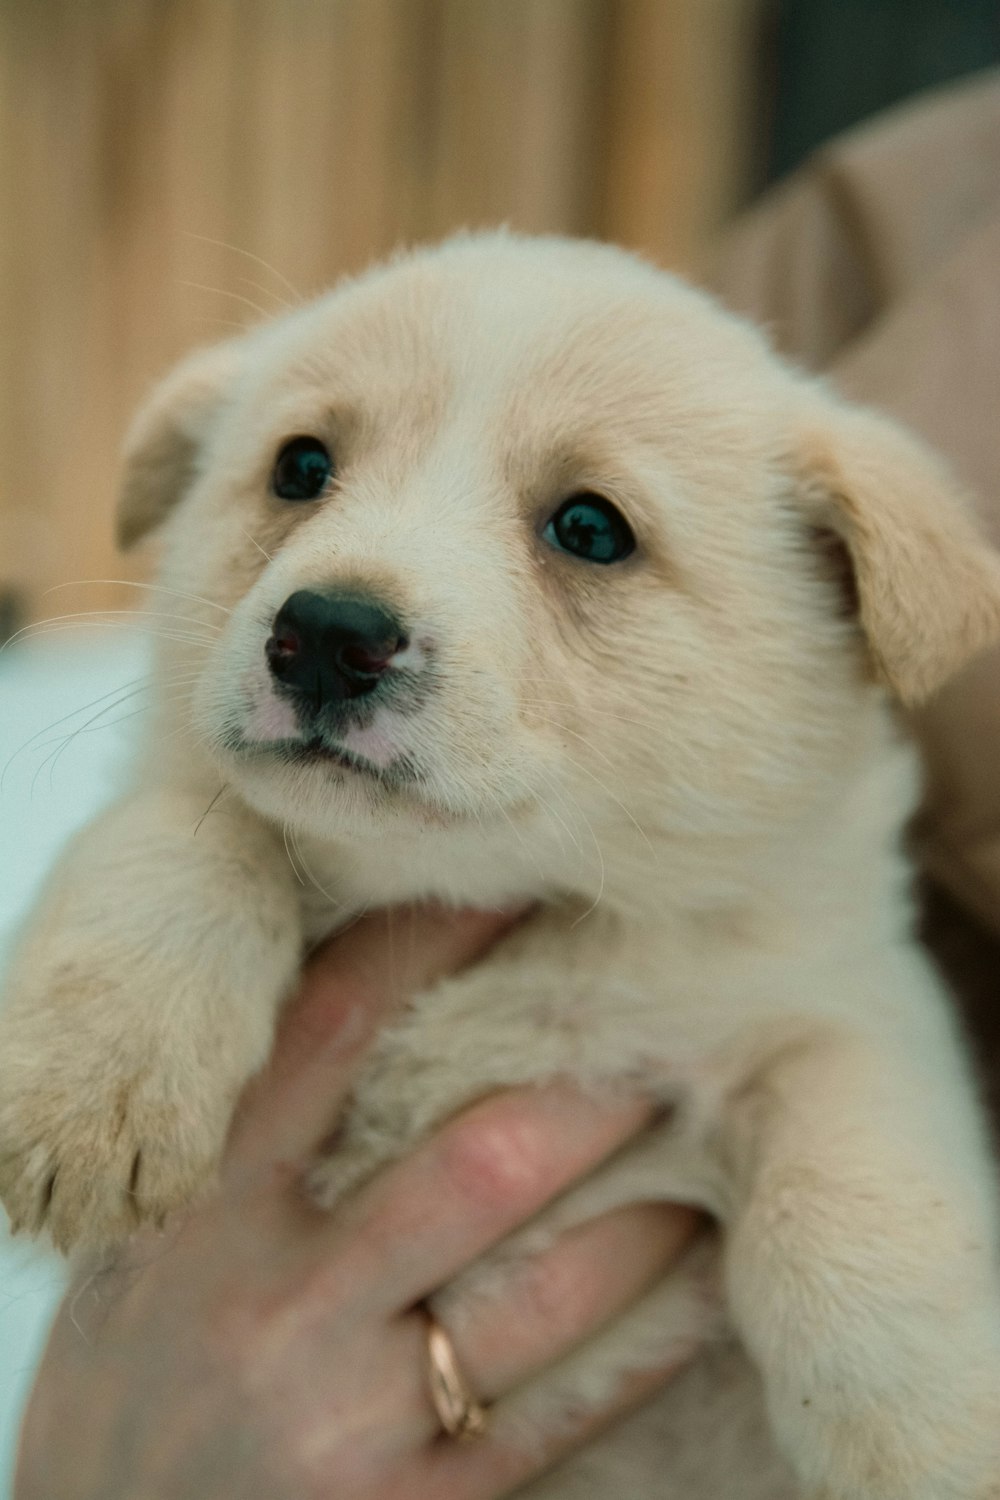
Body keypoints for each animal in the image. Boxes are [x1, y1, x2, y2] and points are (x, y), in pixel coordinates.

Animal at [1, 234, 1000, 1500]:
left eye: (590, 528)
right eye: (300, 467)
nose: (327, 633)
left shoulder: (837, 1002)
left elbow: (856, 1201)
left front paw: (924, 1440)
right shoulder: (170, 802)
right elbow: (183, 838)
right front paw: (98, 1089)